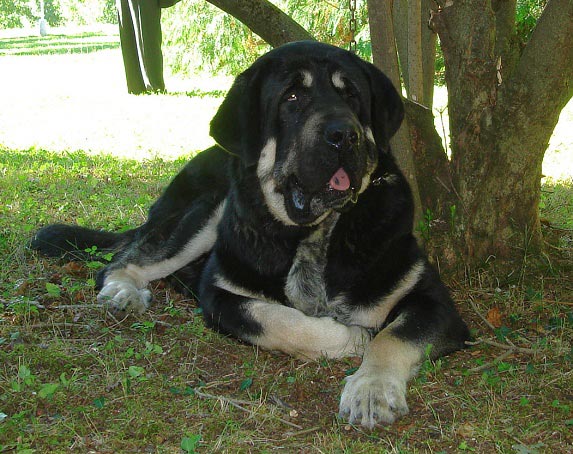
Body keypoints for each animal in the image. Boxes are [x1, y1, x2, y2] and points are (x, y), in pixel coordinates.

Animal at [31, 40, 466, 428]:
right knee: (122, 263)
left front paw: (371, 390)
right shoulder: (220, 294)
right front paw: (351, 337)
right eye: (292, 97)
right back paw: (123, 291)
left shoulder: (431, 299)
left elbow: (394, 337)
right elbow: (276, 318)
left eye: (352, 95)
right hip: (208, 209)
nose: (345, 134)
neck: (314, 234)